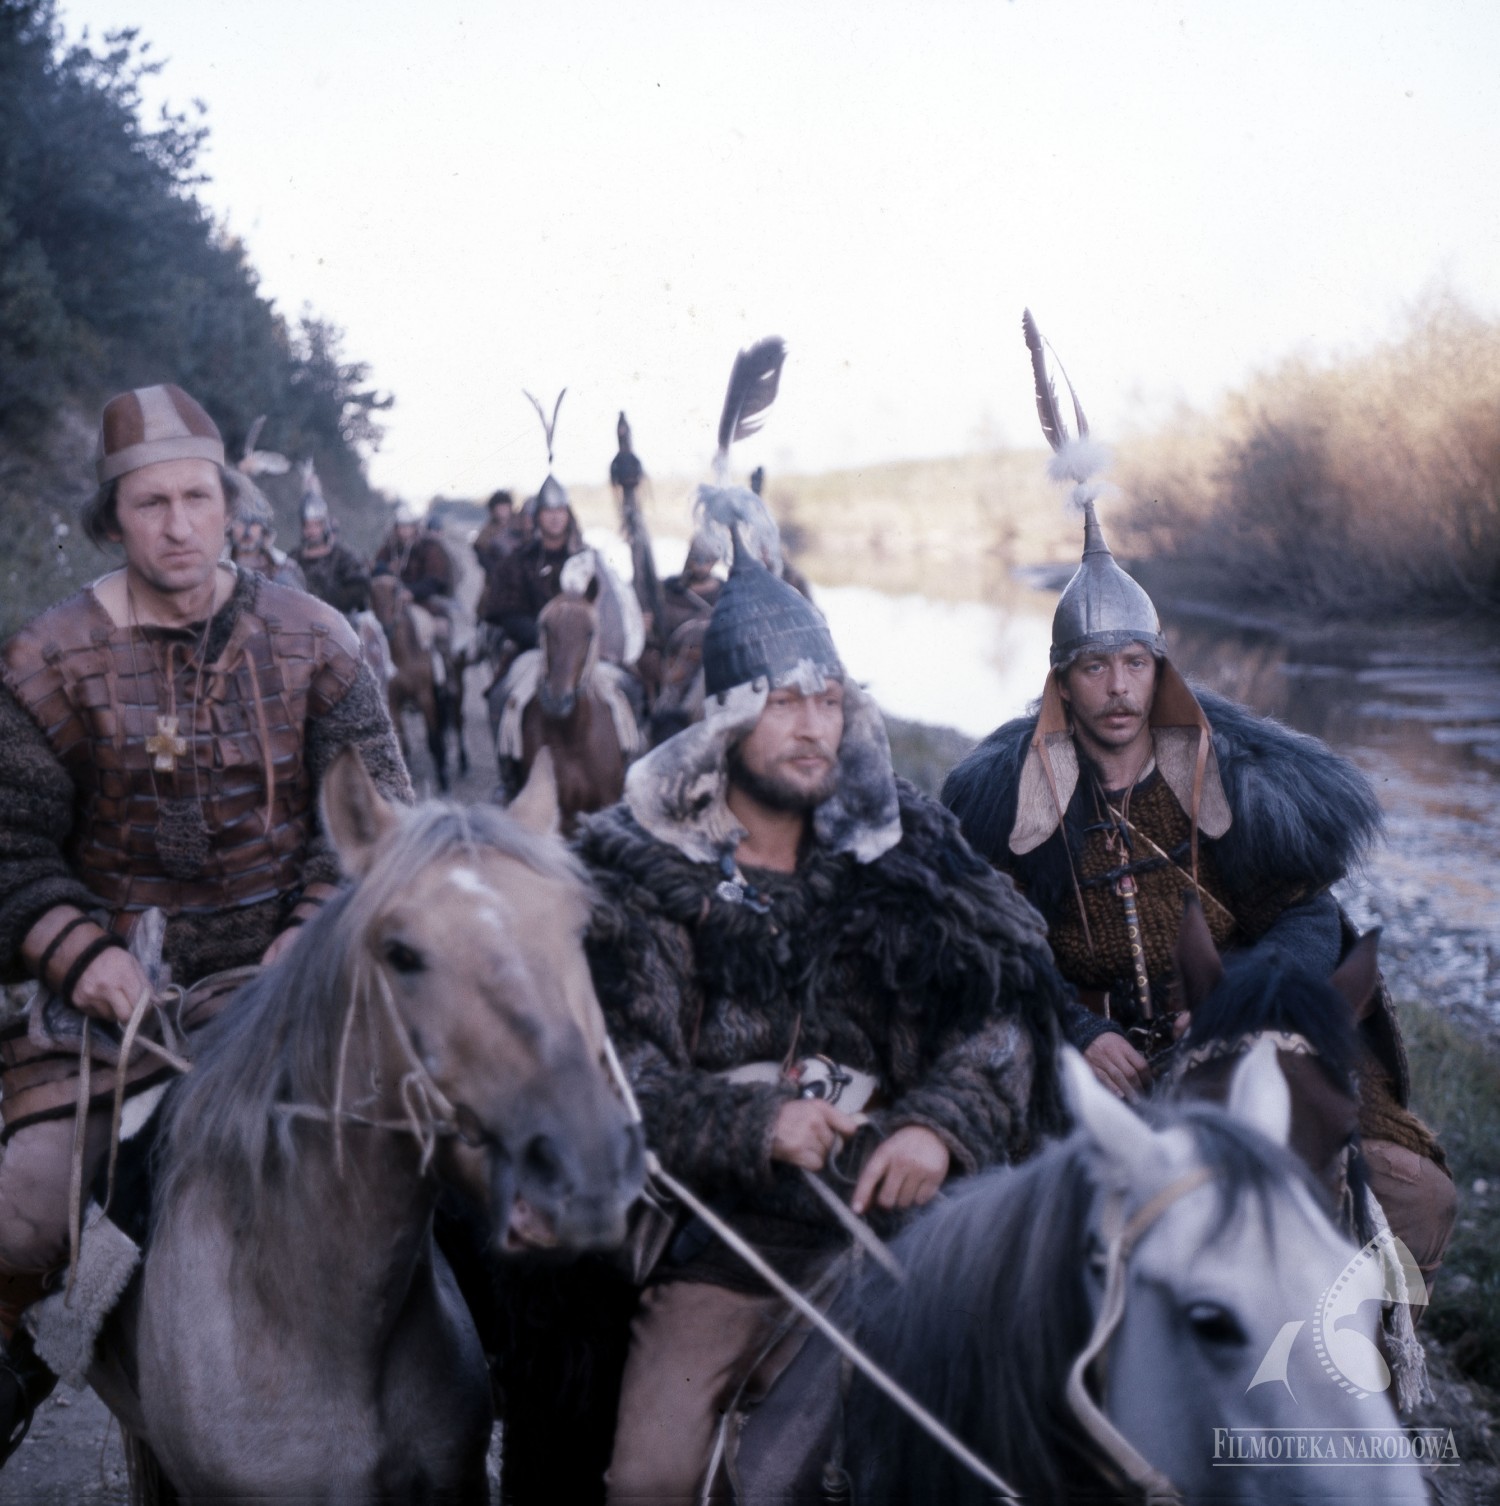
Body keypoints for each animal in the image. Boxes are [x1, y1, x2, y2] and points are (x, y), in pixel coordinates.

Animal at [370, 572, 453, 791]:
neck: (403, 657)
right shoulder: (394, 703)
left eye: (395, 591)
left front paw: (443, 776)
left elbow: (435, 738)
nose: (386, 628)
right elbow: (404, 743)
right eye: (371, 593)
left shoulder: (426, 697)